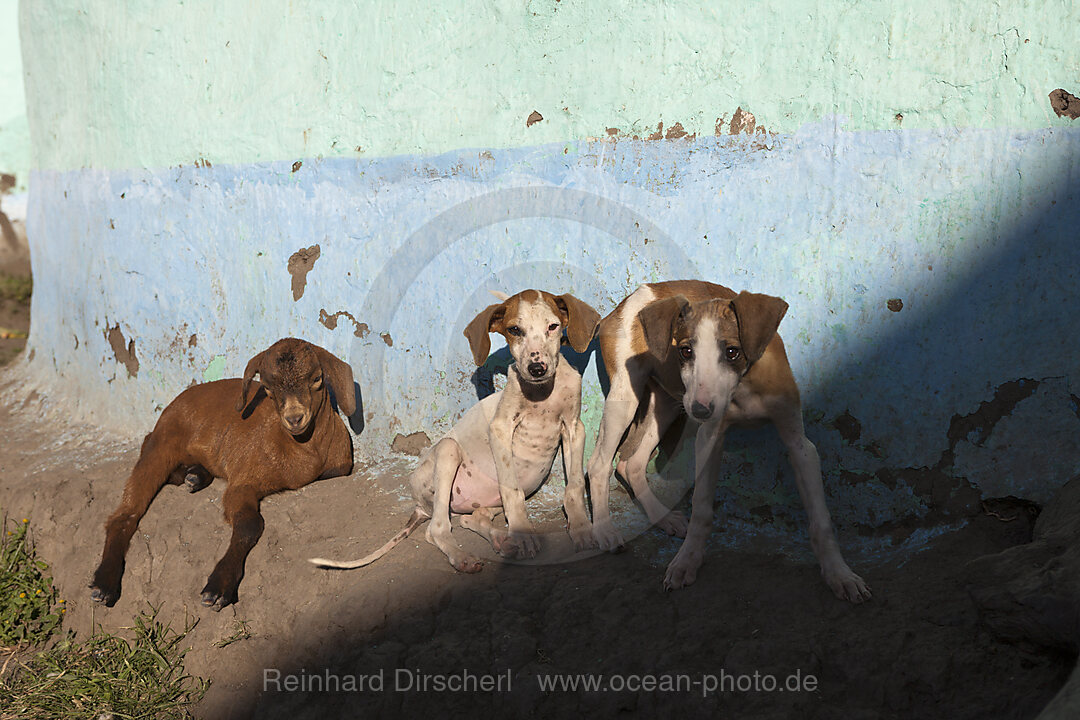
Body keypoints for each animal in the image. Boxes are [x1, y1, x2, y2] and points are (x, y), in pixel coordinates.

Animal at [308, 289, 604, 569]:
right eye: (514, 330)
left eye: (553, 326)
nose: (537, 367)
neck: (541, 394)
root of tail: (419, 507)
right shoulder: (500, 429)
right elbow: (514, 491)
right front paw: (523, 533)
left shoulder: (574, 428)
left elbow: (575, 485)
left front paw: (581, 529)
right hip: (448, 453)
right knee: (437, 529)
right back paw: (465, 556)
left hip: (487, 501)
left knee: (471, 519)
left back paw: (500, 540)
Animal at [583, 280, 868, 604]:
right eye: (686, 351)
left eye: (732, 351)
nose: (700, 411)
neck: (743, 386)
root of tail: (619, 308)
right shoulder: (709, 437)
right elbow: (701, 509)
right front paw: (686, 562)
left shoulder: (800, 444)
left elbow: (820, 519)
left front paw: (840, 574)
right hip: (628, 398)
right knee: (599, 463)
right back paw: (605, 531)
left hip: (667, 402)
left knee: (631, 463)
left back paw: (664, 519)